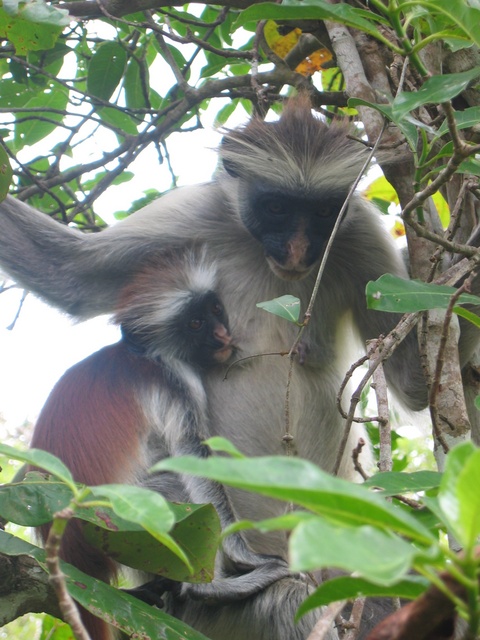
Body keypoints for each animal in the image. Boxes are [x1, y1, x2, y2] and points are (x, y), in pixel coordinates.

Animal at [2, 96, 476, 640]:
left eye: (319, 213)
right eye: (275, 207)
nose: (297, 250)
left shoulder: (357, 232)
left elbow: (415, 384)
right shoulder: (194, 215)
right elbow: (68, 276)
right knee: (283, 594)